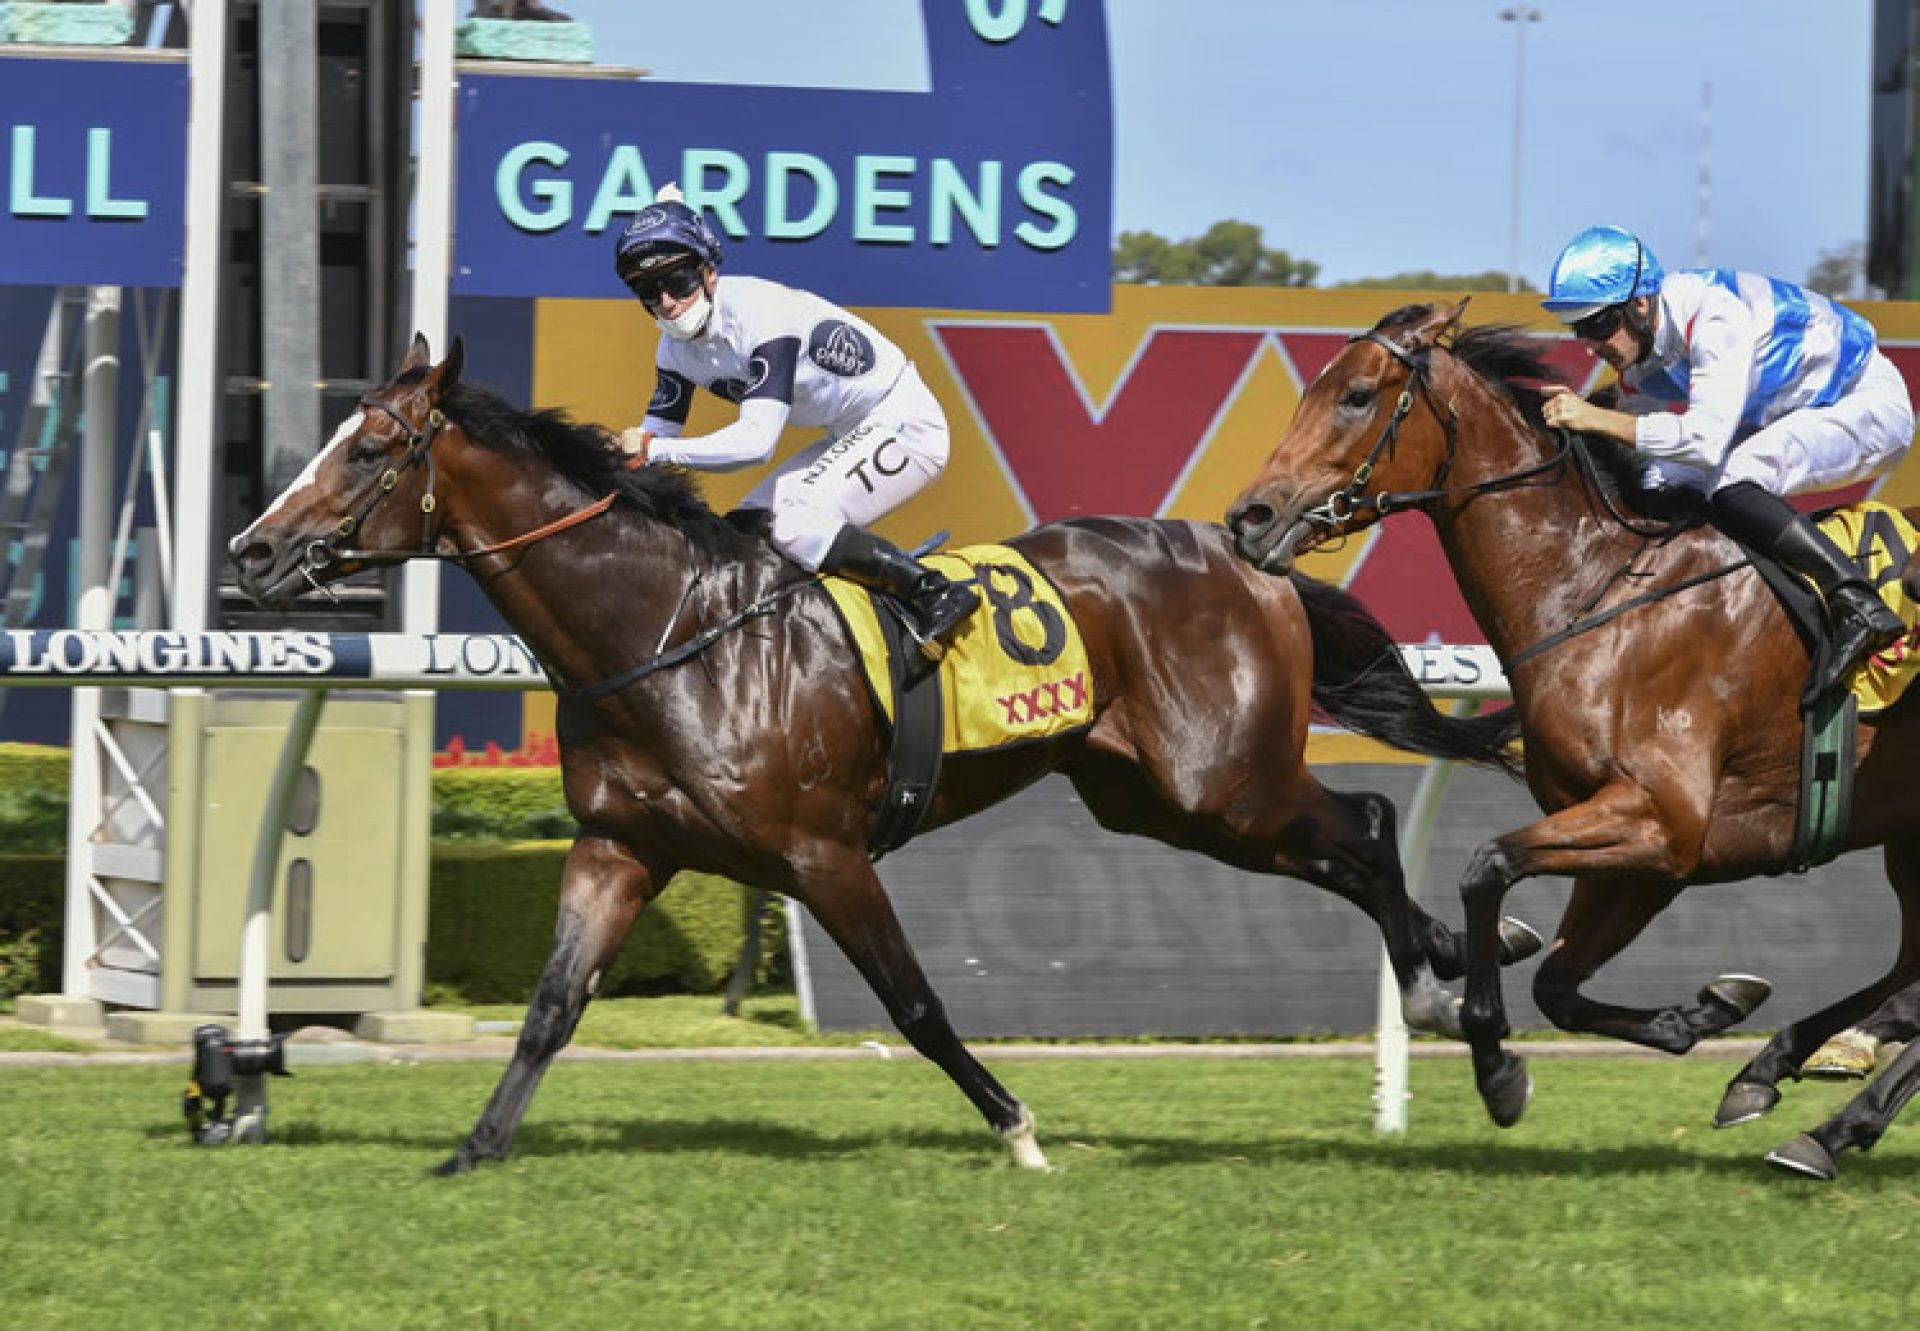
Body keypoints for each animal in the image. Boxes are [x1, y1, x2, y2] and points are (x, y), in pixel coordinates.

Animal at [232, 334, 1536, 1175]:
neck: (664, 632)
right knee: (1347, 846)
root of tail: (1244, 550)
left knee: (1367, 826)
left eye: (368, 450)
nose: (250, 550)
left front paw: (1019, 1130)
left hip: (1224, 780)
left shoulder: (824, 854)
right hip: (1156, 799)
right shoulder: (619, 845)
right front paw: (475, 1146)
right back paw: (1467, 959)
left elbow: (915, 1001)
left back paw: (1454, 995)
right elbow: (553, 1004)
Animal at [1221, 301, 1920, 1175]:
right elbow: (1556, 984)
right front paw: (1703, 1014)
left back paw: (1830, 1120)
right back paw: (1788, 1077)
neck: (1599, 589)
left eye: (1355, 395)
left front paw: (1494, 1065)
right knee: (1910, 966)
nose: (1249, 518)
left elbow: (1486, 867)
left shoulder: (1661, 821)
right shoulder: (1645, 856)